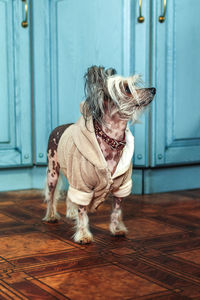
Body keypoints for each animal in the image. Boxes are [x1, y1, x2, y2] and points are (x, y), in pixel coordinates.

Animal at [42, 65, 156, 244]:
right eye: (126, 89)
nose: (153, 89)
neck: (112, 141)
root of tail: (59, 127)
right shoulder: (82, 185)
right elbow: (83, 212)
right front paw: (83, 235)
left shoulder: (121, 187)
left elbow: (116, 211)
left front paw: (117, 229)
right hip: (53, 172)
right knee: (51, 196)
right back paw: (51, 215)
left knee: (69, 196)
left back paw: (71, 212)